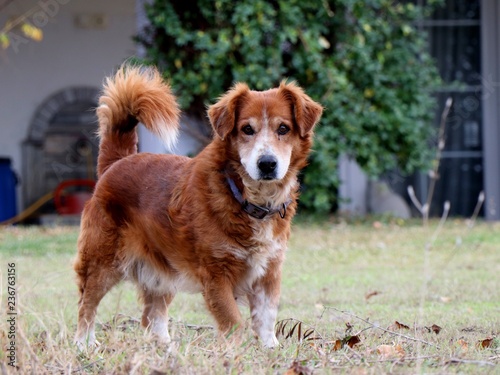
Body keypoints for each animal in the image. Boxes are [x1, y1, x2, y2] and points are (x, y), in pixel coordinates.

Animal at [74, 64, 324, 350]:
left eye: (283, 128)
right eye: (247, 129)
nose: (267, 164)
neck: (247, 198)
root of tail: (117, 162)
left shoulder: (269, 272)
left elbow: (266, 317)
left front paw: (270, 349)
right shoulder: (216, 273)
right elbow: (233, 320)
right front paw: (234, 352)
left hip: (163, 270)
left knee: (152, 315)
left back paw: (166, 348)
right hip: (102, 262)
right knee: (87, 304)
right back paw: (84, 344)